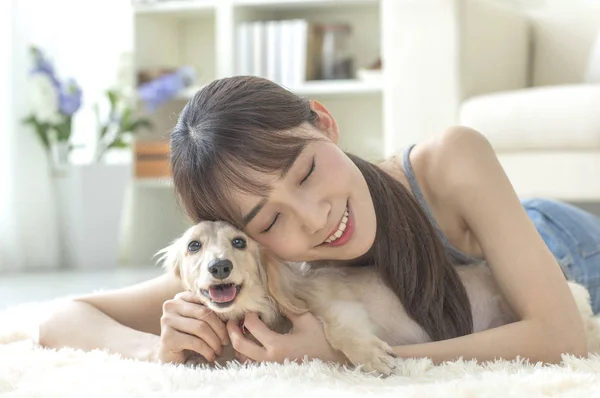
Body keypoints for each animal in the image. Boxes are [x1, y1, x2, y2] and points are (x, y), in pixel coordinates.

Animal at [157, 221, 592, 374]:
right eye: (194, 246)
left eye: (239, 242)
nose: (220, 268)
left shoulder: (338, 308)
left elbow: (340, 333)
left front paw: (371, 358)